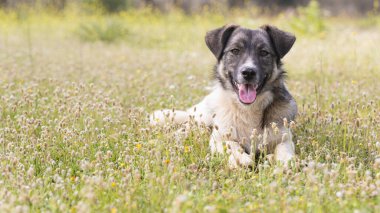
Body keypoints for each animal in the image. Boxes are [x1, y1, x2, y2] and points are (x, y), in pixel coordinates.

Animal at [151, 25, 296, 168]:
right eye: (235, 50)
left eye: (264, 52)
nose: (248, 72)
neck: (248, 109)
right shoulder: (219, 137)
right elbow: (231, 144)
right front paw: (240, 159)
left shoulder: (284, 138)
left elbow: (284, 151)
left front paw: (284, 163)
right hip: (204, 116)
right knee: (190, 123)